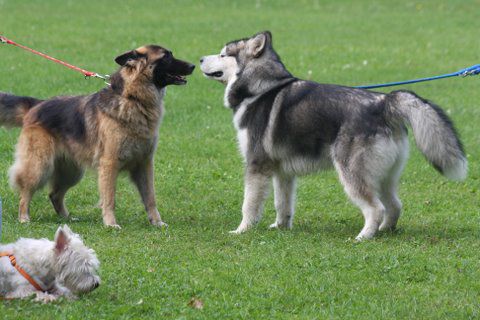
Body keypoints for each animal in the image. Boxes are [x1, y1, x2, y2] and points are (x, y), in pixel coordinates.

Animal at [0, 44, 195, 228]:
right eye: (166, 57)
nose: (193, 65)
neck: (132, 98)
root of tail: (36, 105)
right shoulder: (110, 164)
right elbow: (109, 199)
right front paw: (110, 223)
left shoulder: (144, 164)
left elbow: (150, 198)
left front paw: (157, 222)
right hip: (40, 166)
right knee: (25, 191)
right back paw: (24, 218)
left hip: (72, 172)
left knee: (54, 194)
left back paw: (67, 219)